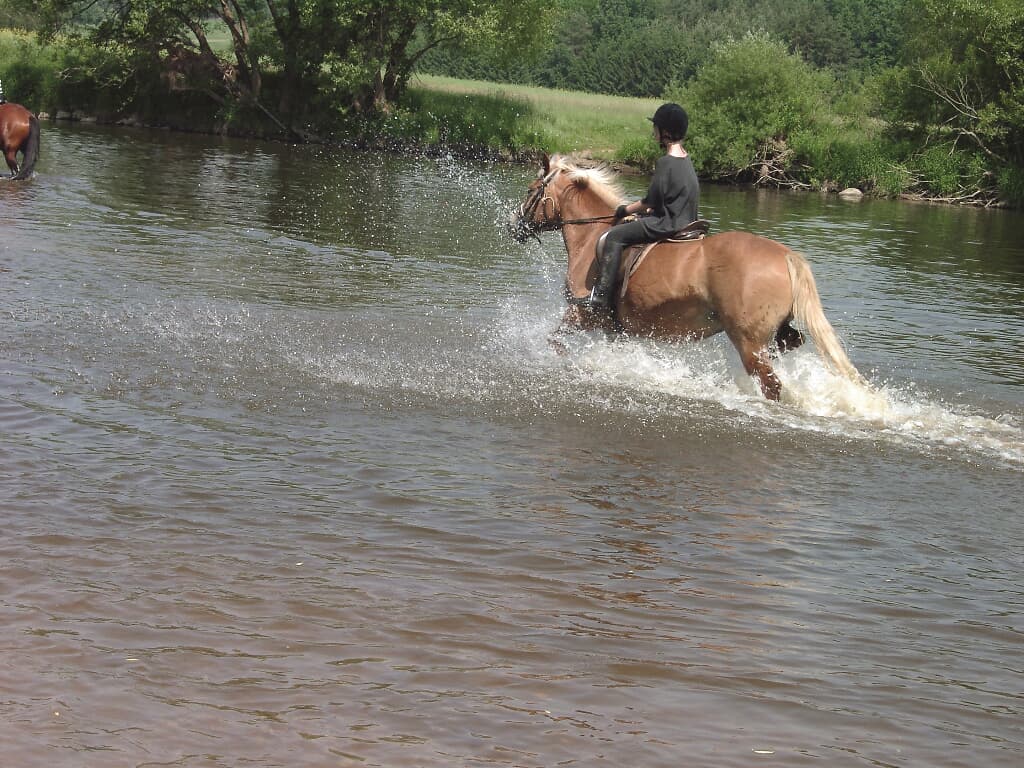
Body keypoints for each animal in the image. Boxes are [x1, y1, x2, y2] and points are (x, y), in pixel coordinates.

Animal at [511, 154, 863, 400]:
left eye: (531, 191)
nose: (515, 226)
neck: (593, 234)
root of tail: (786, 255)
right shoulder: (617, 331)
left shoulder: (582, 314)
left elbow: (555, 341)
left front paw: (570, 366)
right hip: (773, 336)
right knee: (790, 346)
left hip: (748, 342)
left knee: (772, 386)